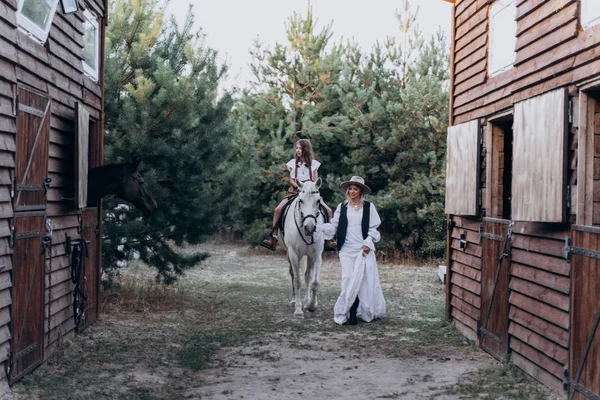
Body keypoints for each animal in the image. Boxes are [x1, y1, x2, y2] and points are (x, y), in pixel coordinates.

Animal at [276, 180, 324, 318]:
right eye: (301, 201)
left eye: (318, 201)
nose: (310, 227)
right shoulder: (293, 254)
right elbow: (297, 281)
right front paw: (298, 309)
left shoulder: (317, 254)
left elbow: (314, 282)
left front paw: (311, 305)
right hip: (289, 254)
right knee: (293, 274)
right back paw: (294, 301)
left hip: (309, 257)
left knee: (308, 276)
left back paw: (307, 301)